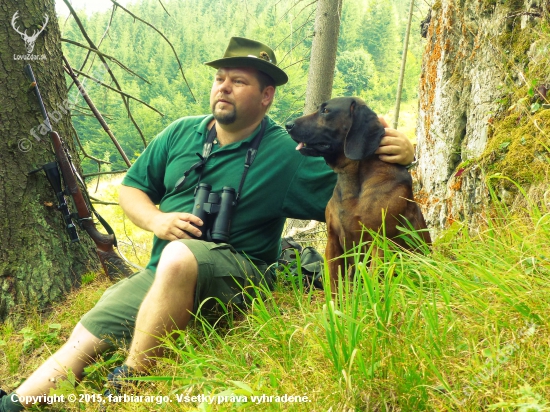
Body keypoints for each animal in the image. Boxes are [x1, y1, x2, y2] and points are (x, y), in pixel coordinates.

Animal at [285, 97, 431, 287]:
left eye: (326, 110)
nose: (288, 125)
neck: (353, 180)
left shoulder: (380, 243)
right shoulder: (333, 243)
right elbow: (334, 285)